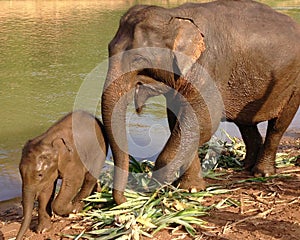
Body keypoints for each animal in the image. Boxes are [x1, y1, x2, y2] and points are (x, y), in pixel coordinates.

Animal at [16, 111, 108, 239]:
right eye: (19, 171)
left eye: (40, 174)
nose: (18, 237)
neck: (48, 140)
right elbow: (47, 191)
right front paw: (42, 230)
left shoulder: (74, 159)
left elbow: (73, 182)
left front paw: (71, 208)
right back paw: (96, 197)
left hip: (100, 150)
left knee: (89, 178)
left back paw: (78, 207)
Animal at [101, 0, 300, 205]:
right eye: (109, 50)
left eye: (138, 58)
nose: (126, 199)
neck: (174, 17)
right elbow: (179, 123)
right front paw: (191, 189)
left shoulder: (209, 68)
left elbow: (202, 121)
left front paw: (159, 183)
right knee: (246, 125)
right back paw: (246, 167)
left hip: (293, 83)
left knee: (278, 126)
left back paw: (263, 173)